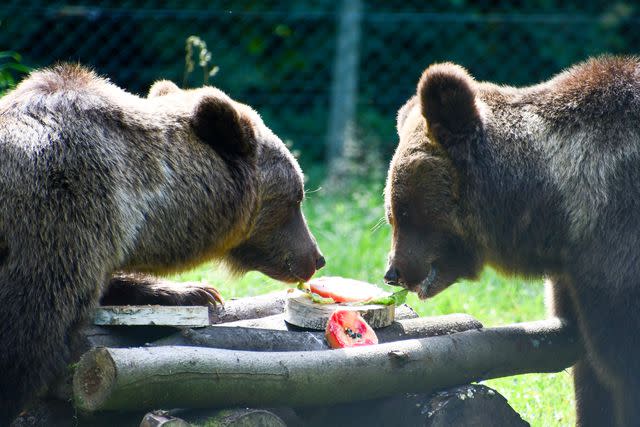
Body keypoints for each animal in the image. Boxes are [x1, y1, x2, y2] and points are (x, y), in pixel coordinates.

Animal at [384, 55, 640, 426]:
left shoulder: (618, 254)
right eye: (391, 212)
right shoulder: (577, 278)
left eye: (402, 210)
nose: (393, 272)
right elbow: (591, 372)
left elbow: (621, 366)